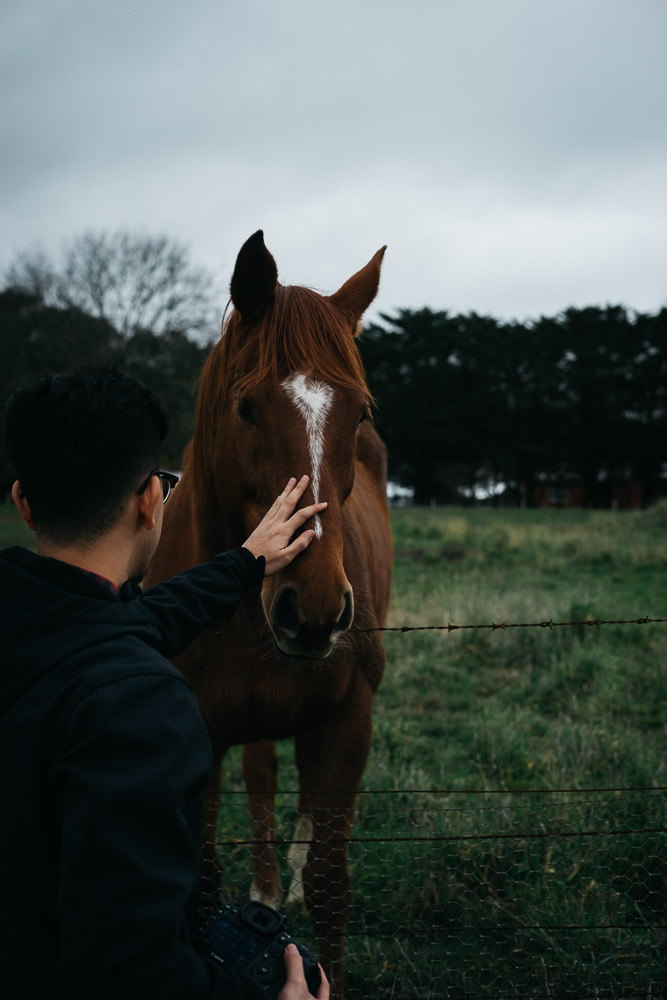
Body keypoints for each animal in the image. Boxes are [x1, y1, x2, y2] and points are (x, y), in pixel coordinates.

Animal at [146, 230, 392, 996]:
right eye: (247, 408)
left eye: (359, 413)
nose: (312, 610)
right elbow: (201, 882)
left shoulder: (347, 722)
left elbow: (331, 884)